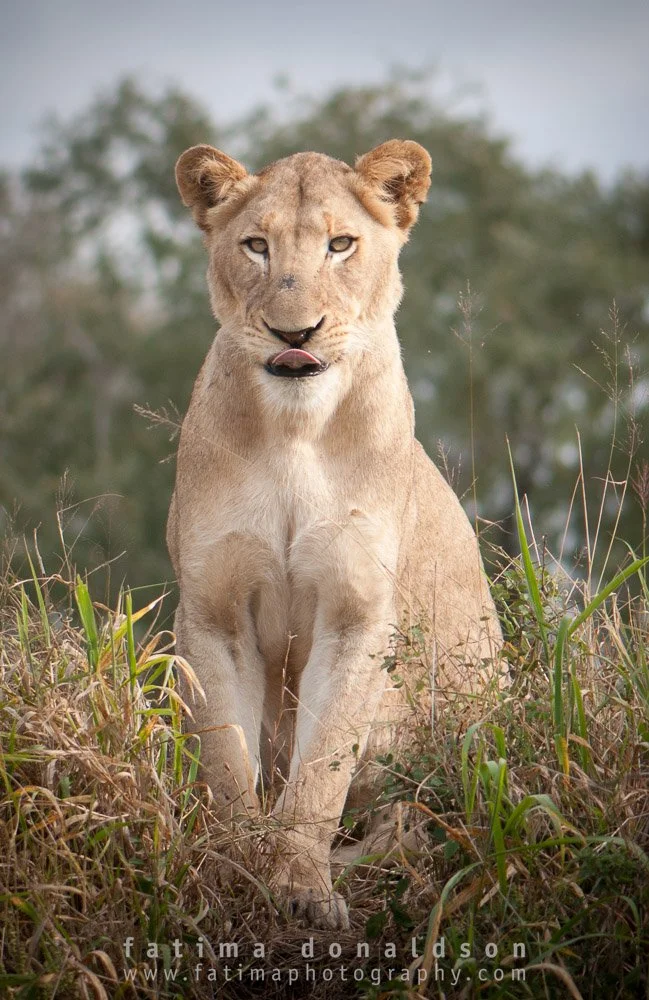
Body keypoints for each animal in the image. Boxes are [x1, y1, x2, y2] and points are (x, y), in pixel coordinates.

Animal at [167, 139, 502, 930]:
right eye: (256, 246)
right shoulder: (213, 611)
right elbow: (228, 759)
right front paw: (236, 866)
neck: (296, 427)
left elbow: (322, 763)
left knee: (410, 823)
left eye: (340, 244)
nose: (295, 334)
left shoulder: (358, 615)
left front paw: (299, 884)